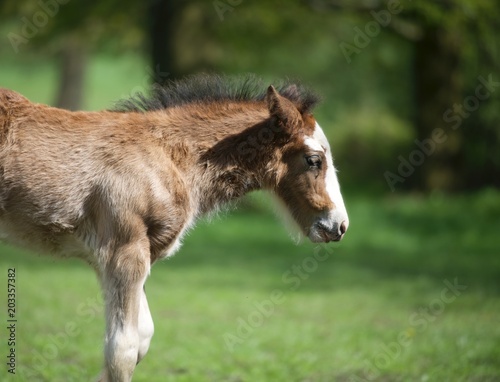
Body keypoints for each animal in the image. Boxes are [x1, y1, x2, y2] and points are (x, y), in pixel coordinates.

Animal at [0, 76, 350, 380]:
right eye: (314, 160)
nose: (339, 224)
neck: (168, 157)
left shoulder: (112, 257)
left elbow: (141, 338)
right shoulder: (123, 252)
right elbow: (122, 351)